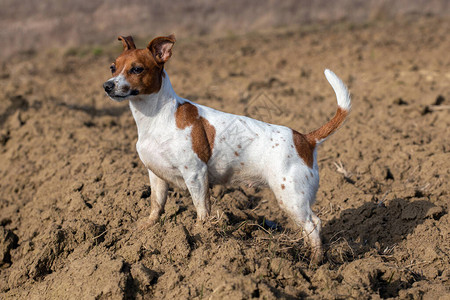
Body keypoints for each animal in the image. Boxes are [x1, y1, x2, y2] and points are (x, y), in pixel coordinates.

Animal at [103, 34, 352, 262]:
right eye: (113, 67)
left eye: (137, 69)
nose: (107, 85)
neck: (155, 117)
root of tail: (306, 140)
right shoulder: (156, 176)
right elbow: (156, 205)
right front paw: (148, 229)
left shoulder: (196, 175)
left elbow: (201, 210)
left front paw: (201, 235)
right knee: (308, 228)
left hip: (291, 198)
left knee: (314, 224)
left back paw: (316, 261)